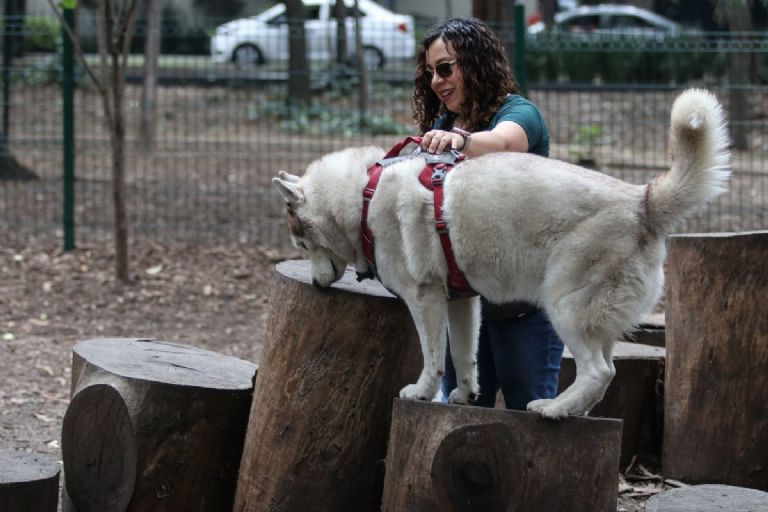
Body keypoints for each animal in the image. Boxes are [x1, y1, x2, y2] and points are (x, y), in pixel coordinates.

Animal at [272, 90, 728, 418]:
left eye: (301, 244)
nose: (314, 283)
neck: (365, 195)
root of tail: (643, 199)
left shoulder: (424, 298)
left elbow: (433, 358)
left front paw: (421, 392)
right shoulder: (462, 302)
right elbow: (463, 356)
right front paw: (463, 394)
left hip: (564, 307)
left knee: (600, 371)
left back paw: (553, 410)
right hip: (597, 320)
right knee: (605, 372)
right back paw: (574, 410)